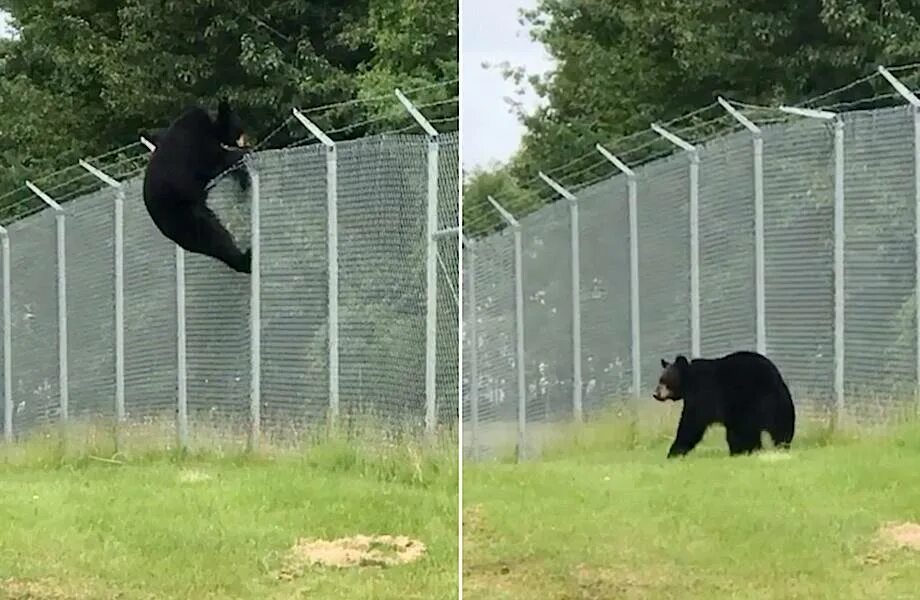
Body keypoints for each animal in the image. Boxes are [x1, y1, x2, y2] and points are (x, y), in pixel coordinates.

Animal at [142, 99, 253, 274]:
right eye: (239, 124)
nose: (247, 139)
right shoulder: (196, 143)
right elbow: (215, 161)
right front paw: (242, 161)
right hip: (185, 216)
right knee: (214, 238)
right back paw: (246, 259)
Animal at [652, 352, 796, 460]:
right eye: (660, 379)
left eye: (664, 380)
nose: (655, 394)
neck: (689, 381)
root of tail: (777, 379)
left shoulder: (704, 393)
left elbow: (692, 422)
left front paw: (674, 452)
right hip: (778, 406)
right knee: (781, 428)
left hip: (750, 402)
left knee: (743, 430)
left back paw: (742, 451)